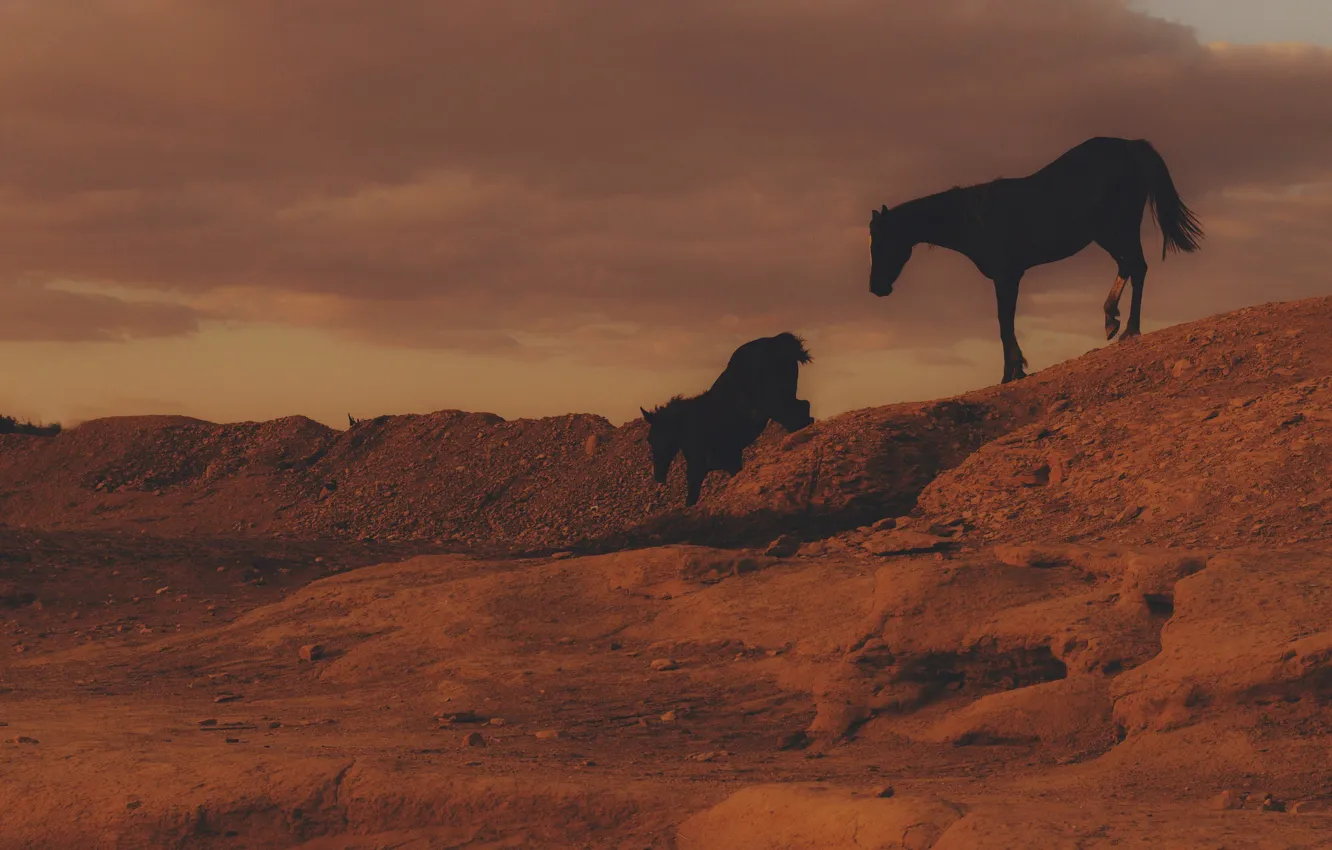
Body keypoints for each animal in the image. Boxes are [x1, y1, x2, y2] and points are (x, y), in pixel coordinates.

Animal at [640, 332, 815, 507]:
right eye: (649, 440)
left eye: (653, 439)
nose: (658, 476)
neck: (689, 424)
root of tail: (779, 341)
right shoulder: (731, 460)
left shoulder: (704, 466)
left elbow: (691, 498)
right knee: (804, 410)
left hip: (776, 404)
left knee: (799, 417)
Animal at [868, 137, 1203, 383]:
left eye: (881, 243)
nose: (876, 287)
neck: (975, 220)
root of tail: (1130, 145)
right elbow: (1006, 323)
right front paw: (1016, 369)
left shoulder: (1007, 276)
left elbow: (1004, 323)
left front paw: (1011, 372)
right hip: (1106, 234)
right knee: (1129, 266)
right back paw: (1112, 320)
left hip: (1117, 227)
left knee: (1137, 267)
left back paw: (1129, 329)